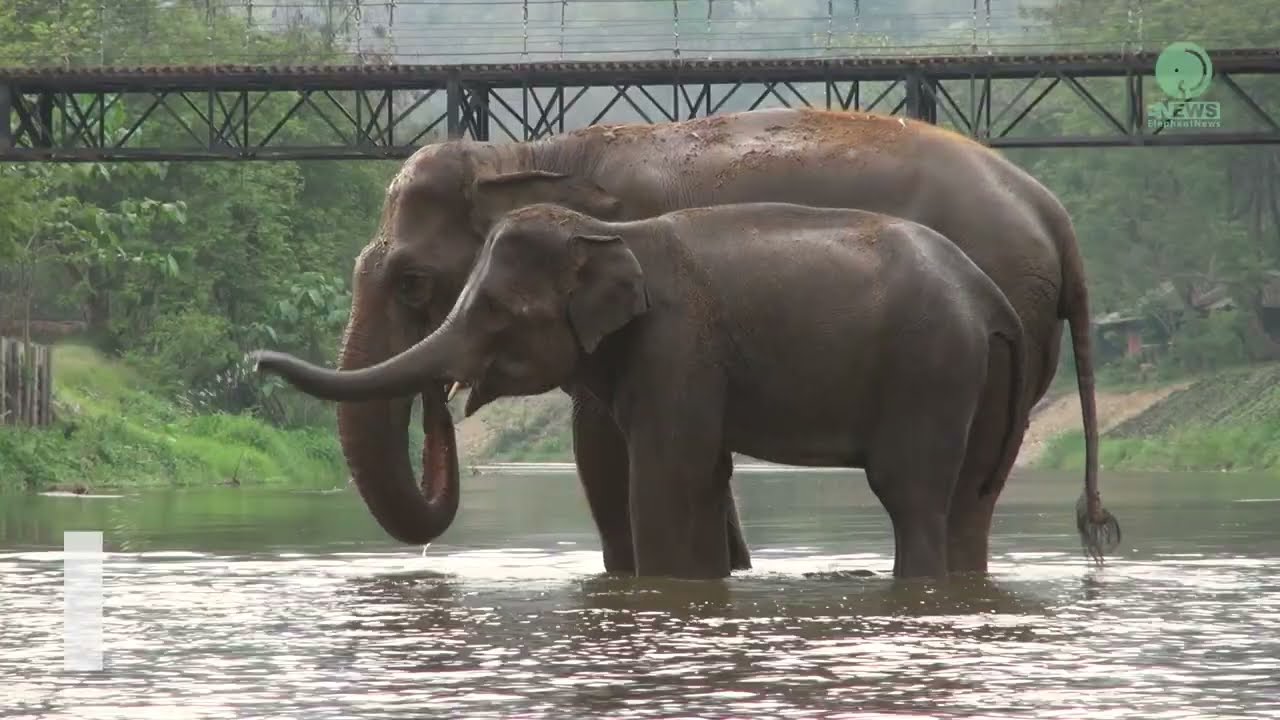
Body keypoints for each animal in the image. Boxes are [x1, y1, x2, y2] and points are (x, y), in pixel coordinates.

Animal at [248, 107, 1120, 575]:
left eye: (413, 284)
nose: (440, 409)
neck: (527, 154)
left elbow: (600, 446)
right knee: (975, 488)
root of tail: (1058, 219)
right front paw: (727, 568)